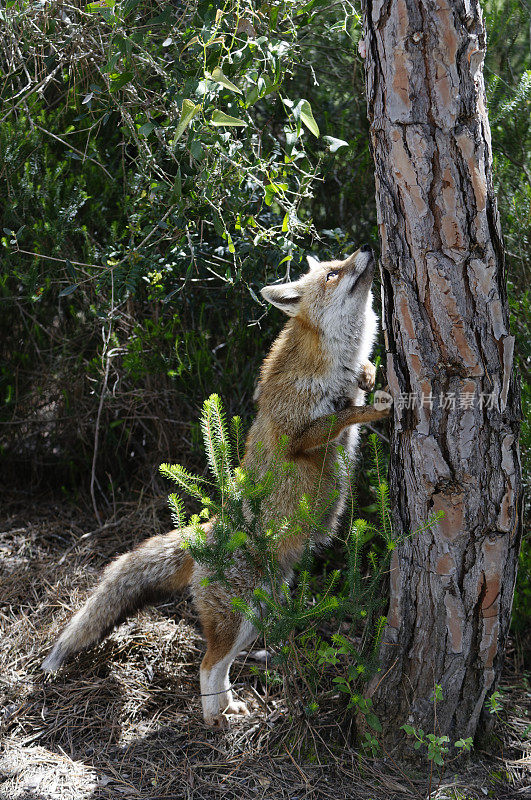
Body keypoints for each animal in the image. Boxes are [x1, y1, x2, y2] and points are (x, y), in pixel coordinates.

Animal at [42, 247, 390, 728]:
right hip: (237, 618)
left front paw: (370, 375)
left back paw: (229, 705)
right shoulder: (297, 436)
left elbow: (356, 390)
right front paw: (374, 405)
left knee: (220, 665)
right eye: (333, 273)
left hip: (258, 614)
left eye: (339, 262)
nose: (368, 249)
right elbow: (343, 415)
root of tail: (207, 531)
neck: (331, 364)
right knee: (206, 665)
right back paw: (214, 720)